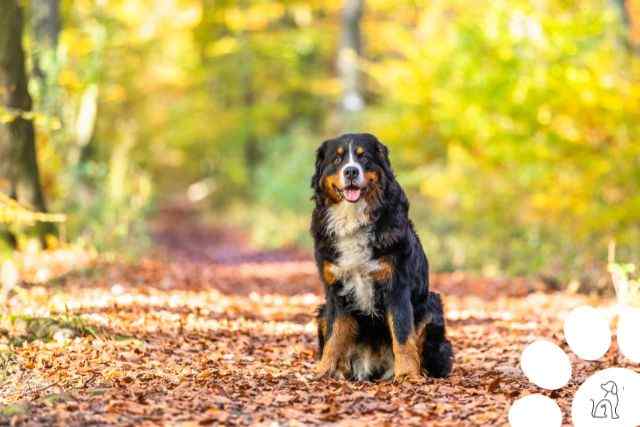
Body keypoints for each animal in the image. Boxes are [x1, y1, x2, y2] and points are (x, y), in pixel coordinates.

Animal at [312, 133, 456, 382]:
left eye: (364, 157)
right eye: (337, 159)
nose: (351, 171)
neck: (354, 219)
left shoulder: (396, 285)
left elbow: (402, 334)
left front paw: (407, 373)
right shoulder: (335, 291)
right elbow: (334, 335)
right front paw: (323, 371)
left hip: (432, 305)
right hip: (321, 310)